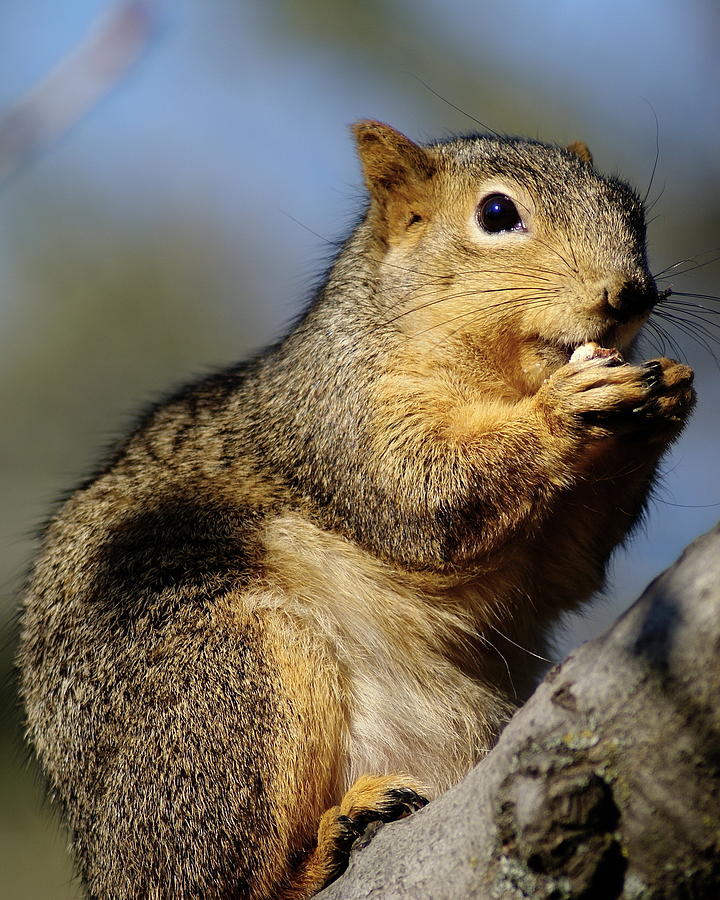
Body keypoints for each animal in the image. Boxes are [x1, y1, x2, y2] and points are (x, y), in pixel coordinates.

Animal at [15, 121, 692, 900]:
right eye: (497, 214)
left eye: (631, 207)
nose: (632, 293)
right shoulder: (340, 420)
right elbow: (423, 499)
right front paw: (564, 410)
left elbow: (565, 573)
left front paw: (669, 395)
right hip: (224, 686)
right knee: (223, 877)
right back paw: (329, 844)